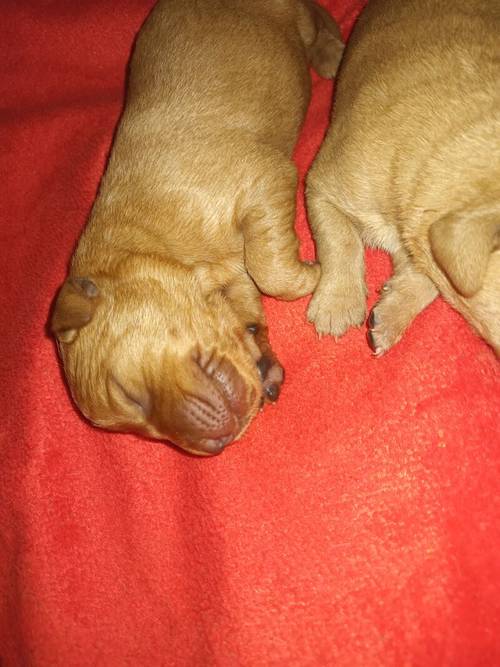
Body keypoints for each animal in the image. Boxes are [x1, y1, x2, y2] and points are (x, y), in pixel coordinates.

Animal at [50, 0, 344, 456]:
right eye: (139, 428)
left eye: (128, 392)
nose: (215, 446)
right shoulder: (233, 283)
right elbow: (251, 302)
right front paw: (262, 357)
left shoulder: (264, 178)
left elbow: (271, 271)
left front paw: (312, 274)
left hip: (292, 15)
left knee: (316, 16)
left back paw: (331, 53)